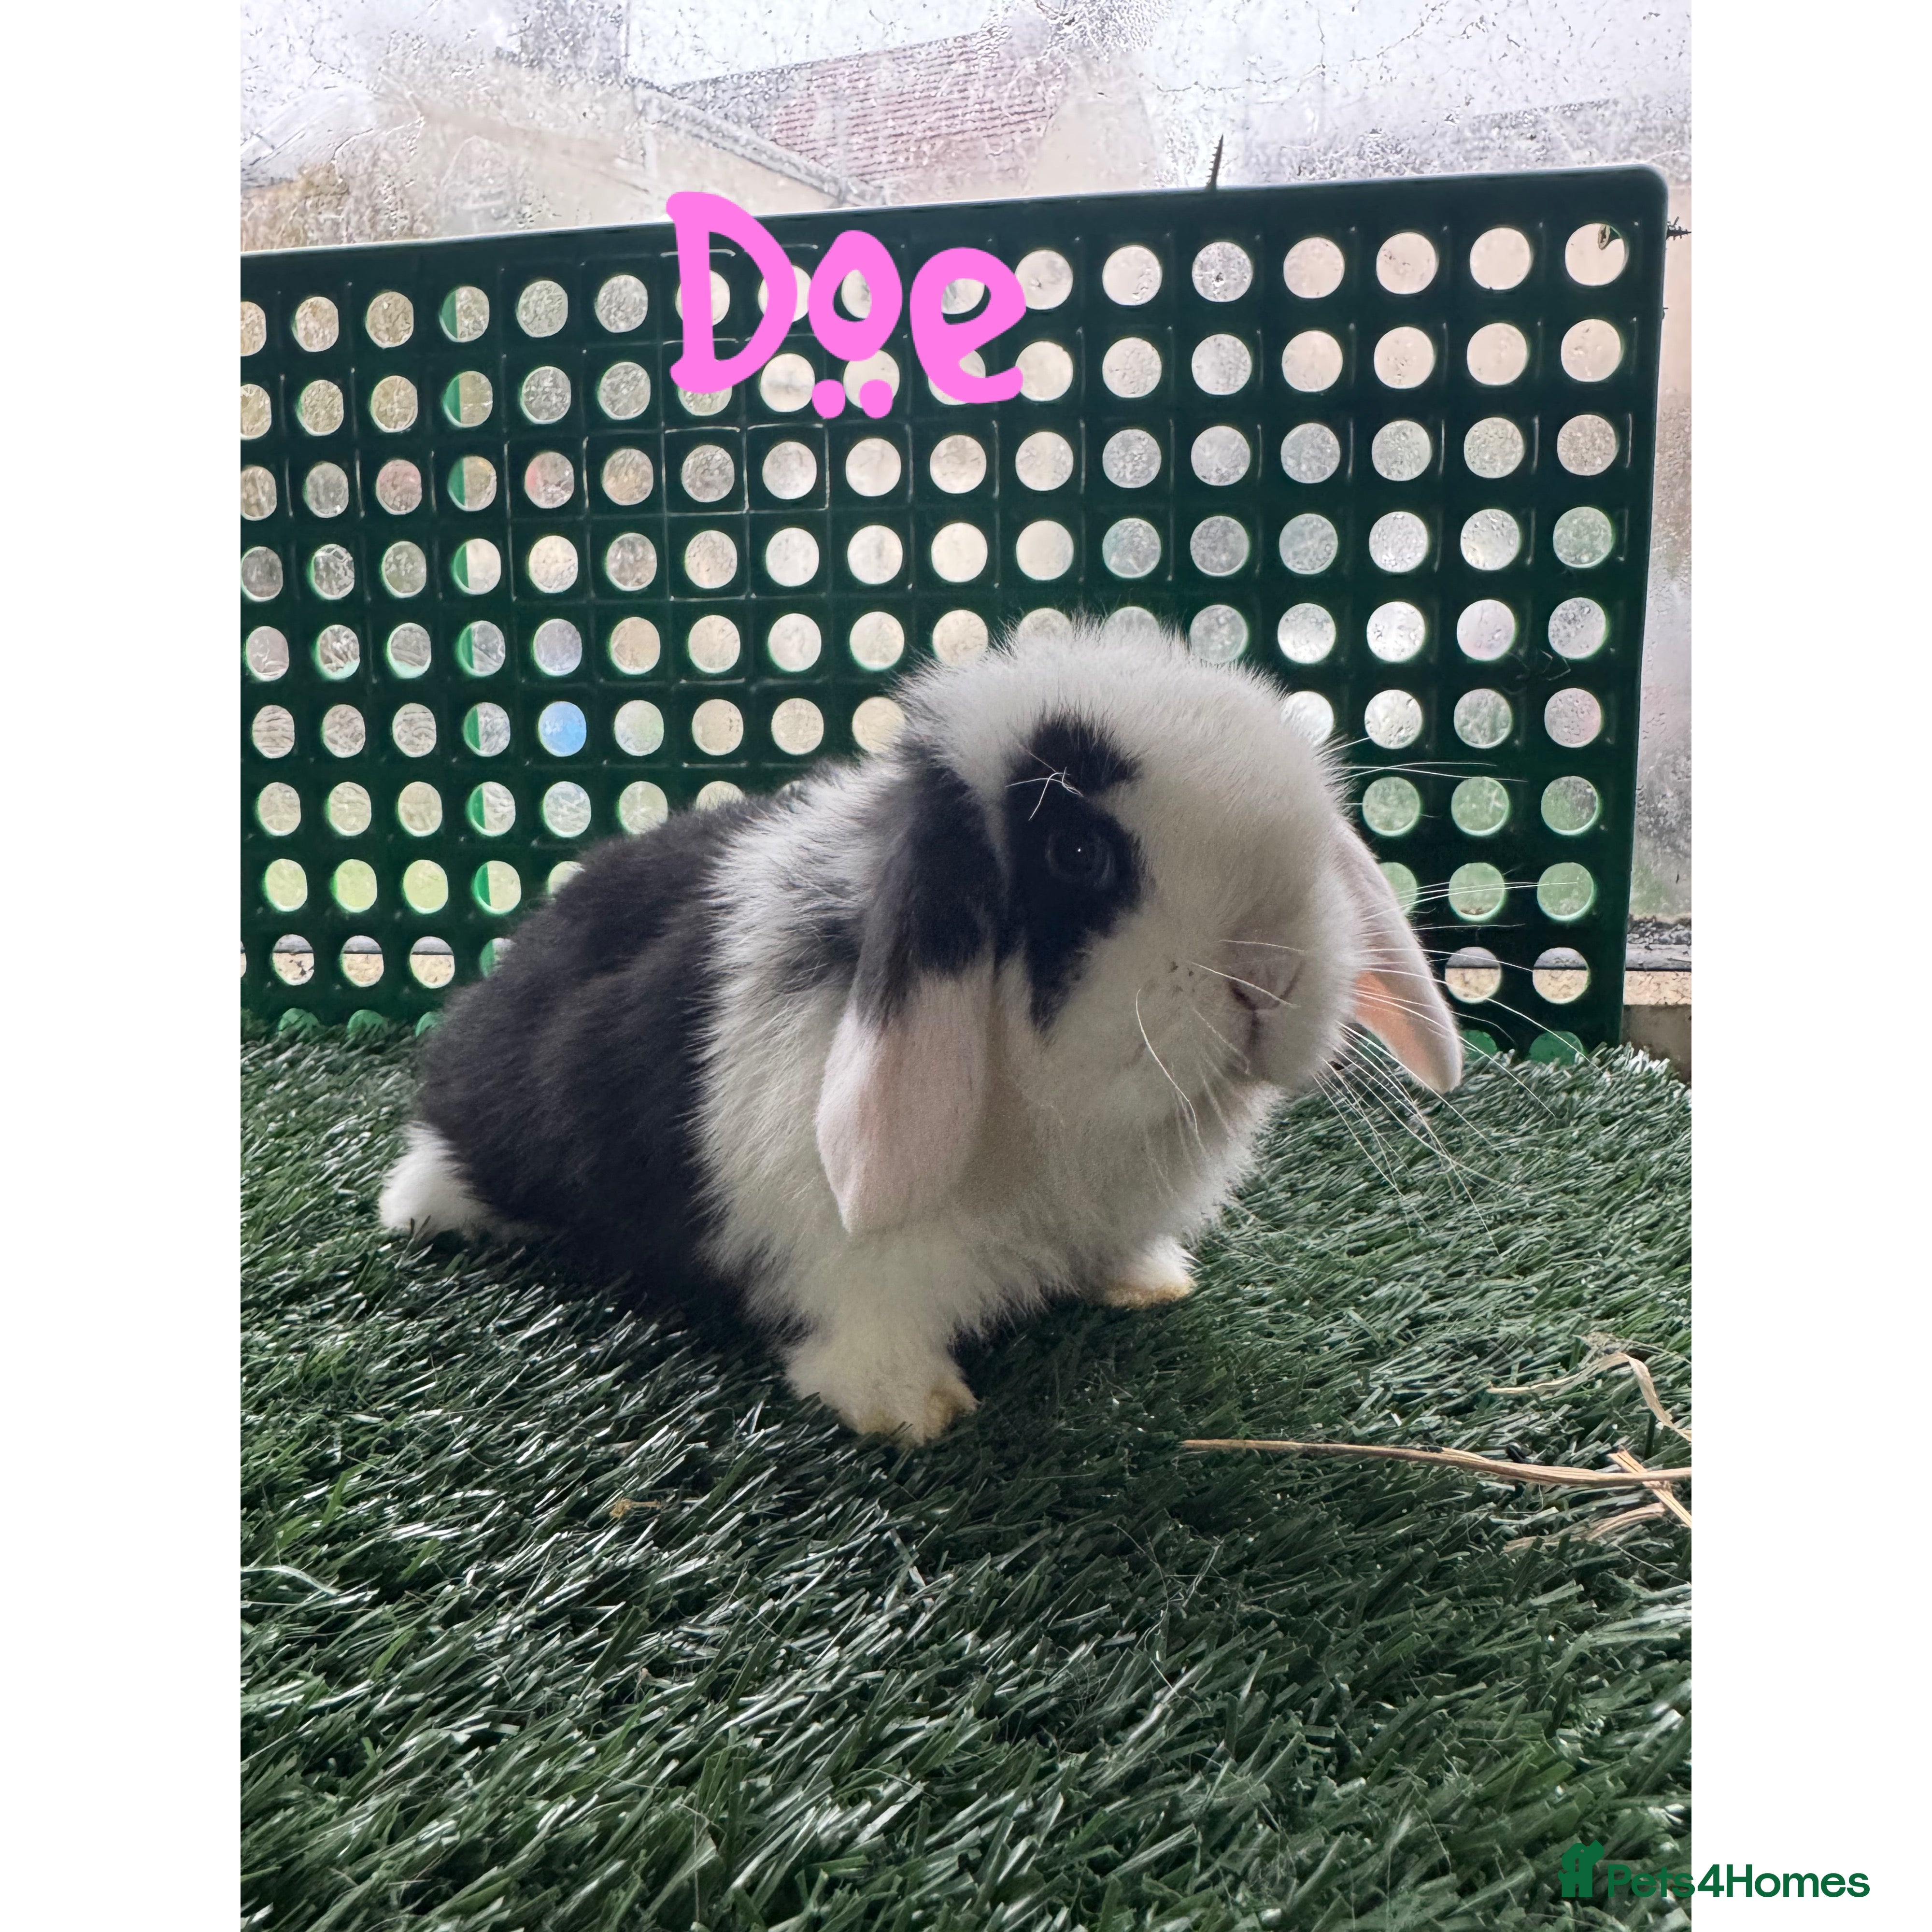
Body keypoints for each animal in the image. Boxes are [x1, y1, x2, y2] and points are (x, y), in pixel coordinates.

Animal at [379, 620, 1461, 1442]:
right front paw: (912, 1411)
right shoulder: (846, 1261)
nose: (1270, 977)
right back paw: (416, 1209)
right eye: (1077, 854)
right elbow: (868, 1324)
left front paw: (1148, 1283)